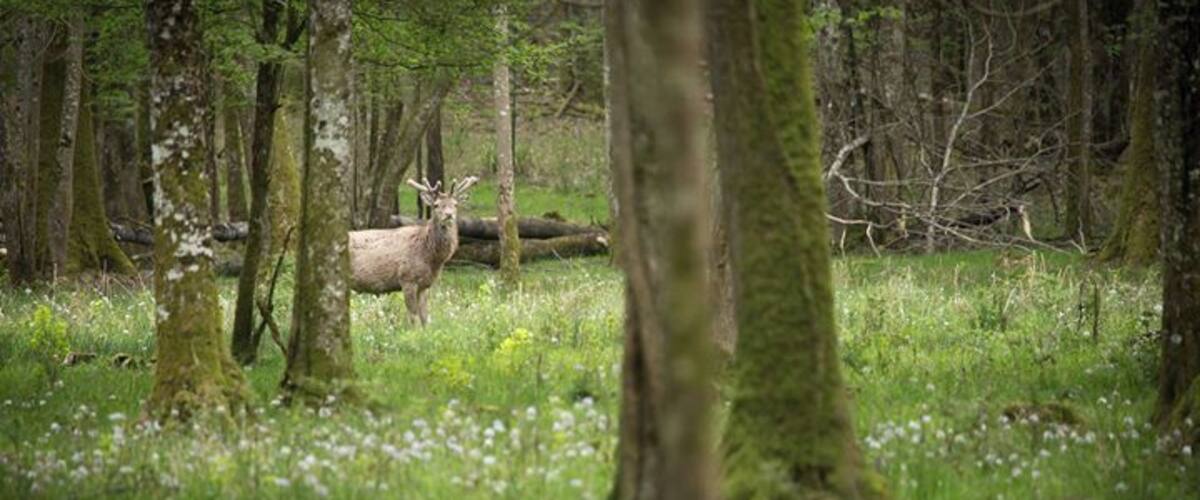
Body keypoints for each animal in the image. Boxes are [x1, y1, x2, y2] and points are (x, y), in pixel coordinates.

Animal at [349, 176, 478, 326]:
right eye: (436, 205)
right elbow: (413, 316)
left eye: (455, 205)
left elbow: (425, 317)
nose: (449, 215)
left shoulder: (425, 285)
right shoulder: (407, 278)